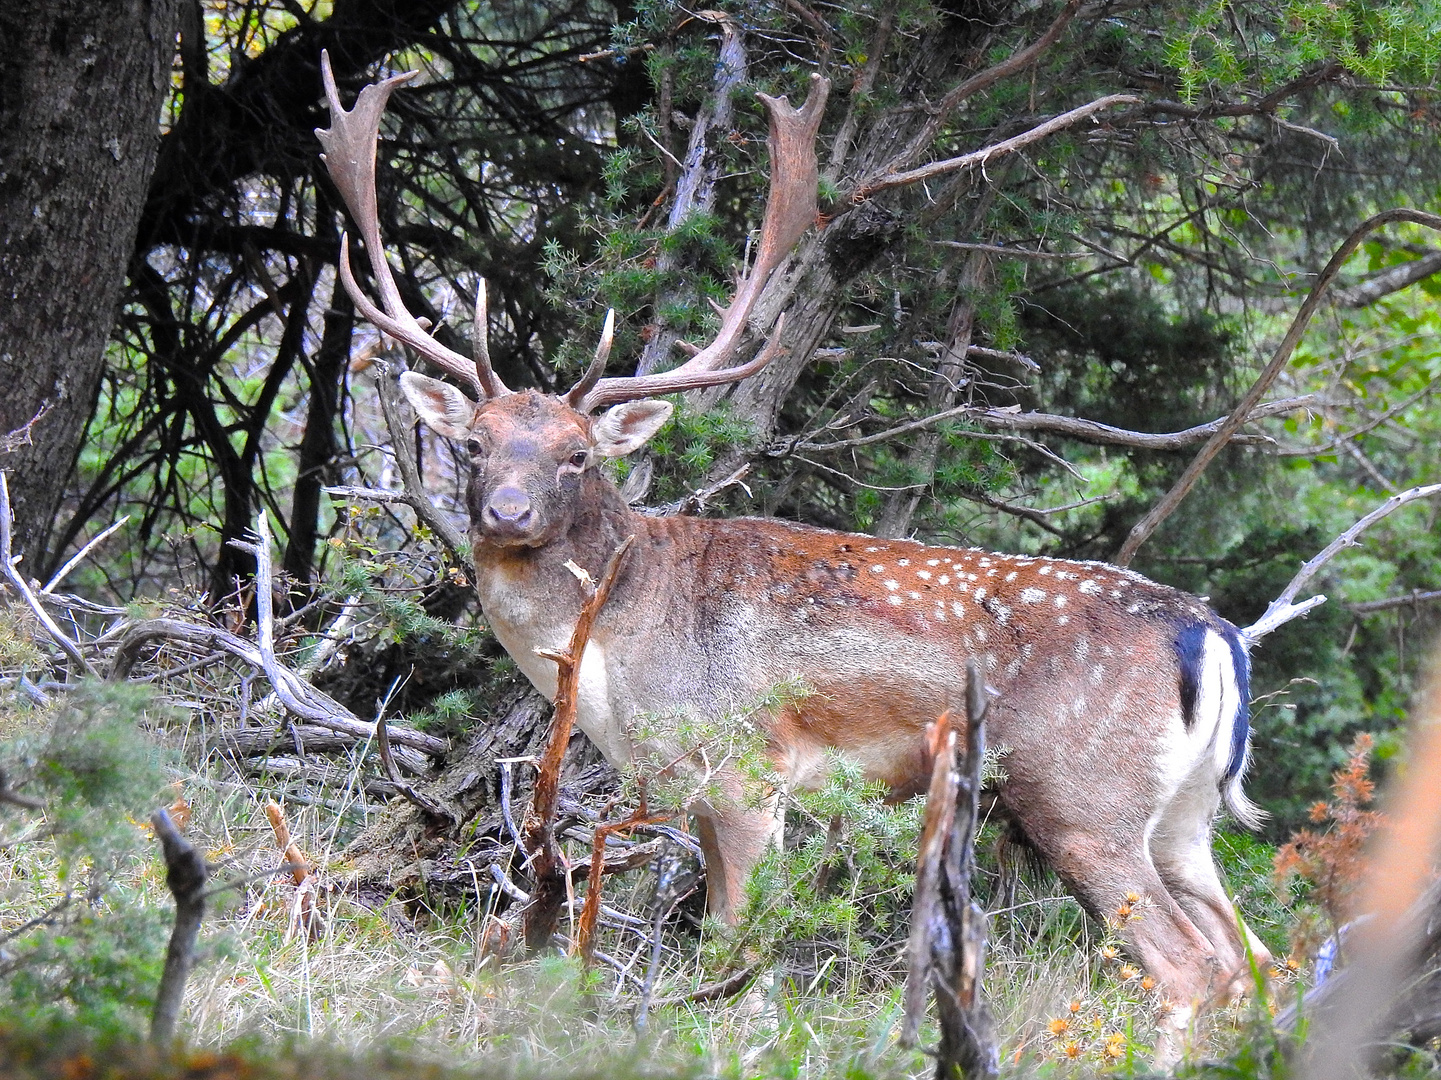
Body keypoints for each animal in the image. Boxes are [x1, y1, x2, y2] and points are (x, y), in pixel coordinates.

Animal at [318, 56, 1273, 1038]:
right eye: (474, 444)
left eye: (577, 454)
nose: (507, 512)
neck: (615, 657)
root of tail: (1216, 639)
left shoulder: (745, 766)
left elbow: (733, 940)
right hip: (1183, 818)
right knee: (1252, 961)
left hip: (1082, 796)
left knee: (1190, 967)